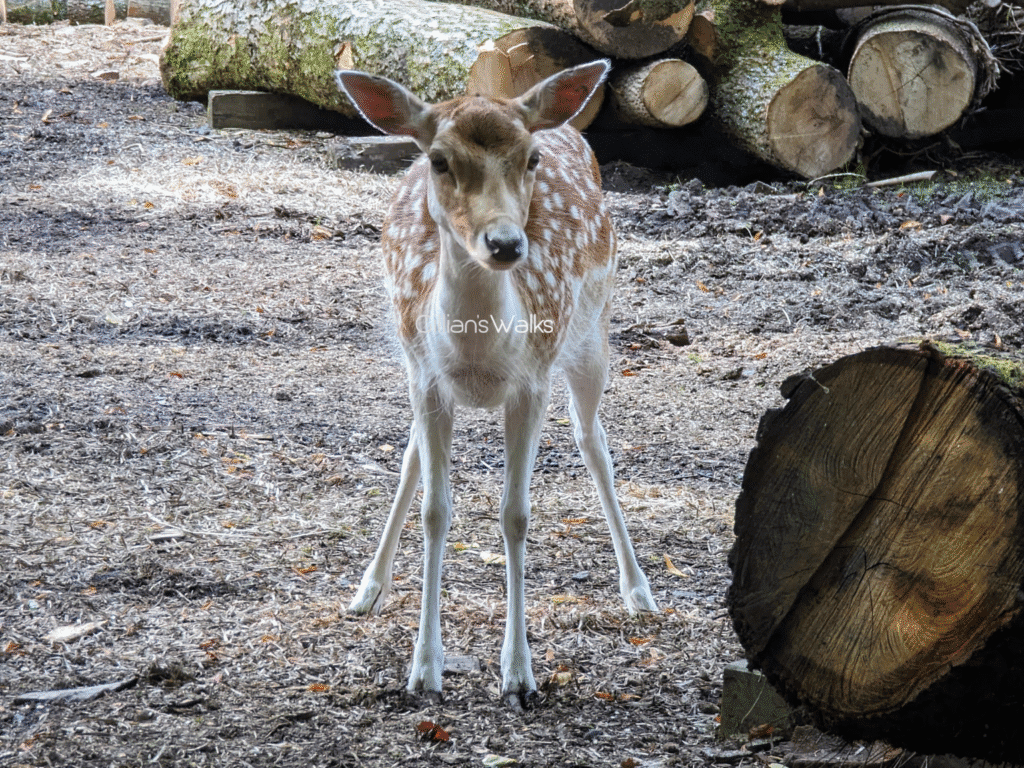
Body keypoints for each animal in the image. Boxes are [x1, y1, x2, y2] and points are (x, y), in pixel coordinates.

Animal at [334, 60, 658, 709]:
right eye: (439, 159)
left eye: (530, 158)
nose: (507, 243)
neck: (478, 350)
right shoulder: (427, 379)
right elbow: (436, 509)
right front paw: (423, 670)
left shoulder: (531, 381)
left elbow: (516, 515)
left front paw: (519, 675)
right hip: (409, 357)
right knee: (409, 457)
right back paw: (368, 587)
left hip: (593, 333)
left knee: (594, 441)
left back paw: (638, 589)